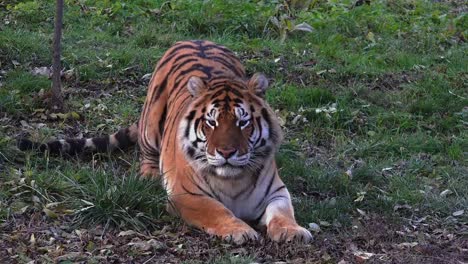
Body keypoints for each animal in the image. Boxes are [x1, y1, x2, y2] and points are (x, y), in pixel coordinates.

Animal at [18, 40, 312, 244]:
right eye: (212, 122)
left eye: (243, 122)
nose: (226, 152)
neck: (232, 180)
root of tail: (195, 39)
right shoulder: (187, 194)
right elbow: (218, 211)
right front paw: (241, 230)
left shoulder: (277, 191)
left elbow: (283, 213)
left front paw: (294, 231)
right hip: (151, 124)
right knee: (146, 153)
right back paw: (149, 175)